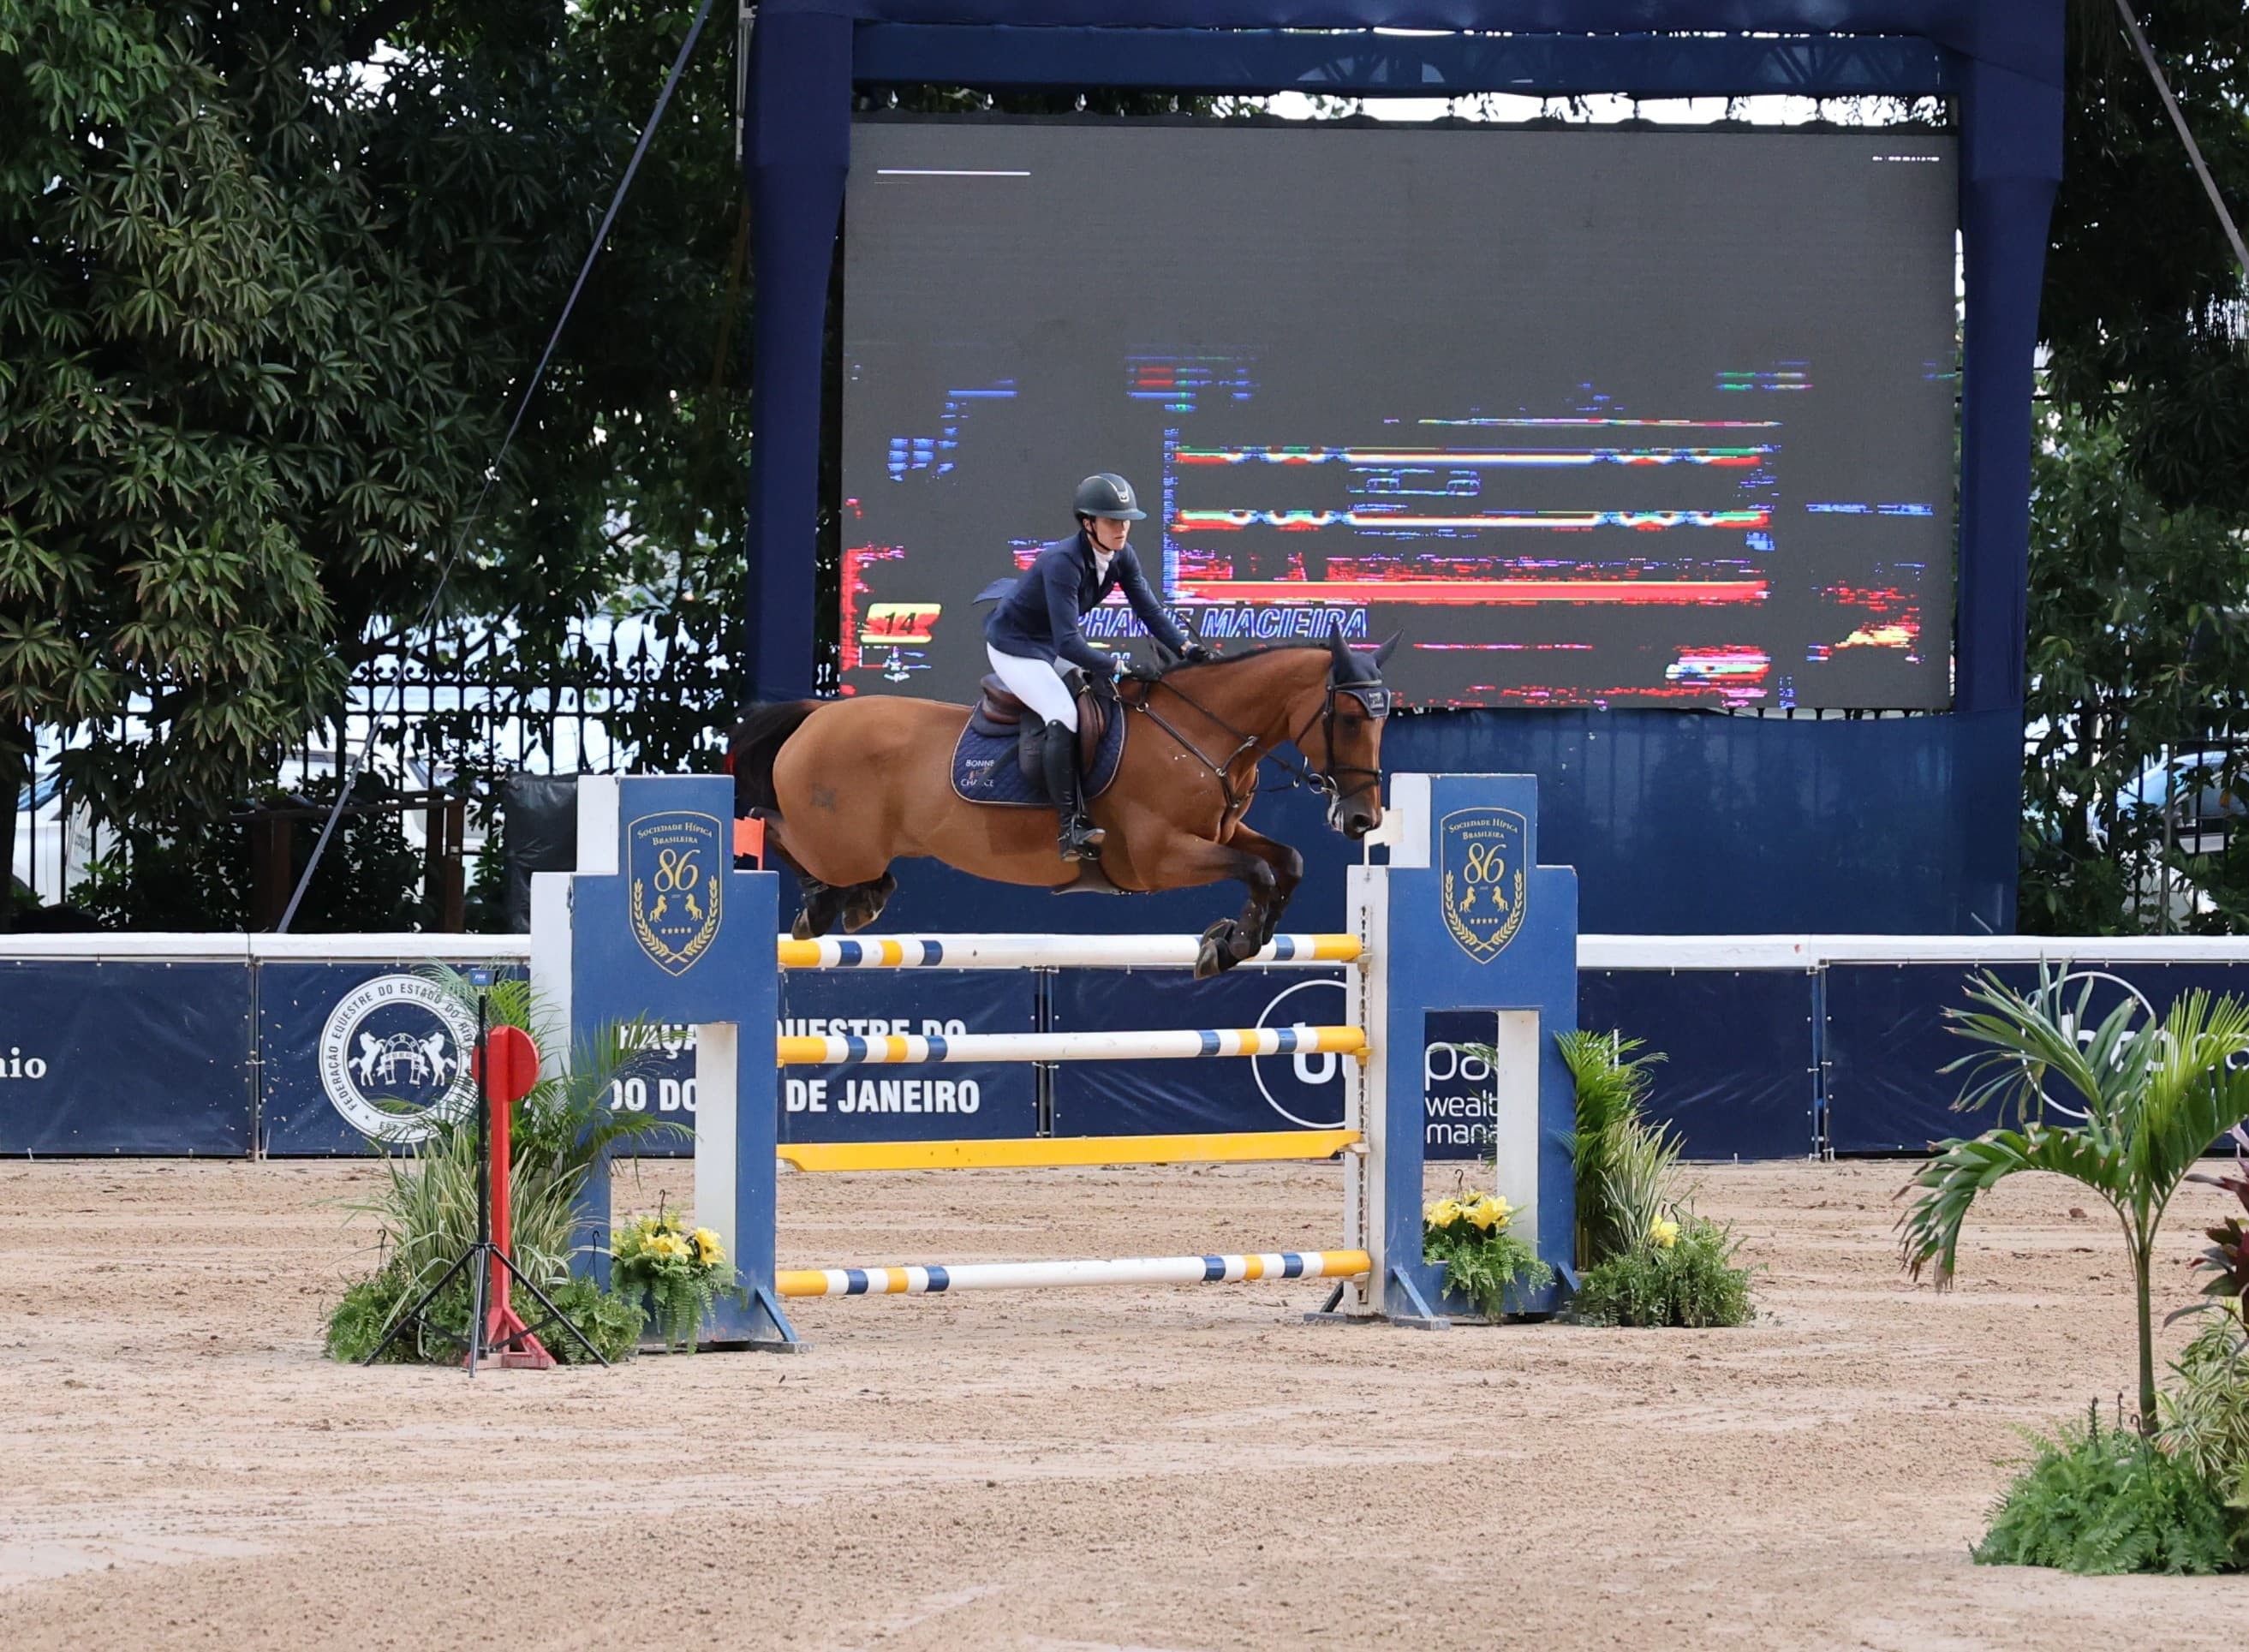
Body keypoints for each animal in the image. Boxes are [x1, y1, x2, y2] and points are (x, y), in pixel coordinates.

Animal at [728, 624, 1394, 975]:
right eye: (1350, 718)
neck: (1198, 735)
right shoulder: (1157, 858)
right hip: (838, 843)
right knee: (768, 825)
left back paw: (860, 899)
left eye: (1384, 719)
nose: (1363, 818)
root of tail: (817, 716)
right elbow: (1257, 869)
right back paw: (823, 906)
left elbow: (1287, 862)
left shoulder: (1222, 833)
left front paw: (1234, 941)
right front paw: (1228, 942)